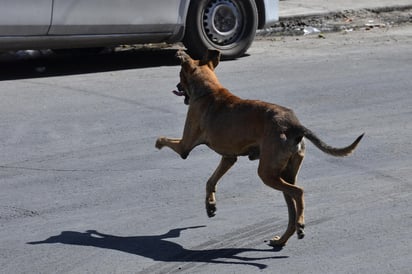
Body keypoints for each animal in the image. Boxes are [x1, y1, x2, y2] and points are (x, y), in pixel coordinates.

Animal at [155, 48, 364, 246]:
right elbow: (210, 181)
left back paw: (301, 224)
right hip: (283, 174)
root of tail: (294, 125)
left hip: (267, 173)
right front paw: (211, 205)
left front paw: (157, 143)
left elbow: (165, 139)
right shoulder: (228, 158)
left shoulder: (185, 146)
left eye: (180, 76)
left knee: (299, 192)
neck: (209, 90)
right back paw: (283, 238)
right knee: (291, 206)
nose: (177, 87)